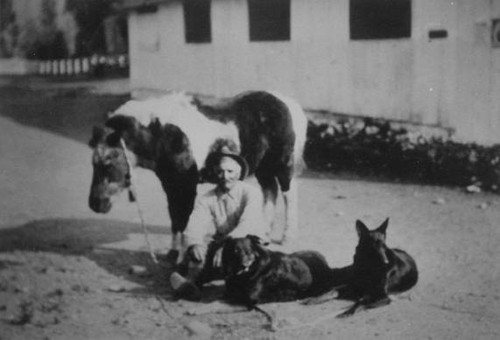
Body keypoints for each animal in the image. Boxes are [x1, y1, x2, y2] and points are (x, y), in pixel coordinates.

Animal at [89, 90, 308, 258]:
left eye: (108, 163)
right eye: (93, 163)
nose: (95, 204)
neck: (164, 136)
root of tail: (288, 103)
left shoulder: (186, 185)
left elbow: (184, 218)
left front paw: (184, 255)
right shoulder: (170, 184)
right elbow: (175, 218)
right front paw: (173, 254)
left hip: (283, 164)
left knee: (289, 194)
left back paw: (287, 238)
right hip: (263, 167)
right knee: (270, 190)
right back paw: (264, 235)